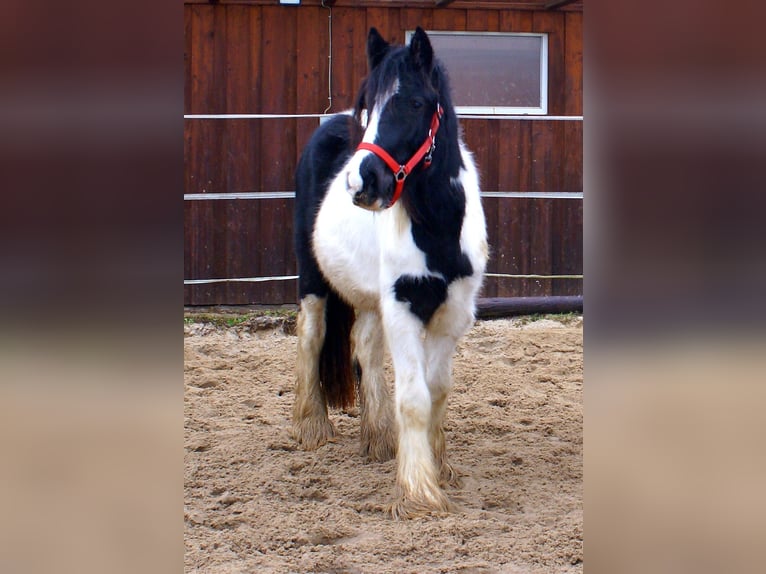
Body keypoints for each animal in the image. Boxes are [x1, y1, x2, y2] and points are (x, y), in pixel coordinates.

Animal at [292, 27, 488, 520]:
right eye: (368, 107)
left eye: (415, 103)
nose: (362, 183)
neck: (437, 228)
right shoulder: (402, 307)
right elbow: (415, 399)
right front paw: (419, 491)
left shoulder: (451, 314)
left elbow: (437, 391)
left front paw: (435, 465)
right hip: (313, 279)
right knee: (311, 336)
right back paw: (312, 428)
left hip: (368, 297)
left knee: (363, 346)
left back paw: (378, 440)